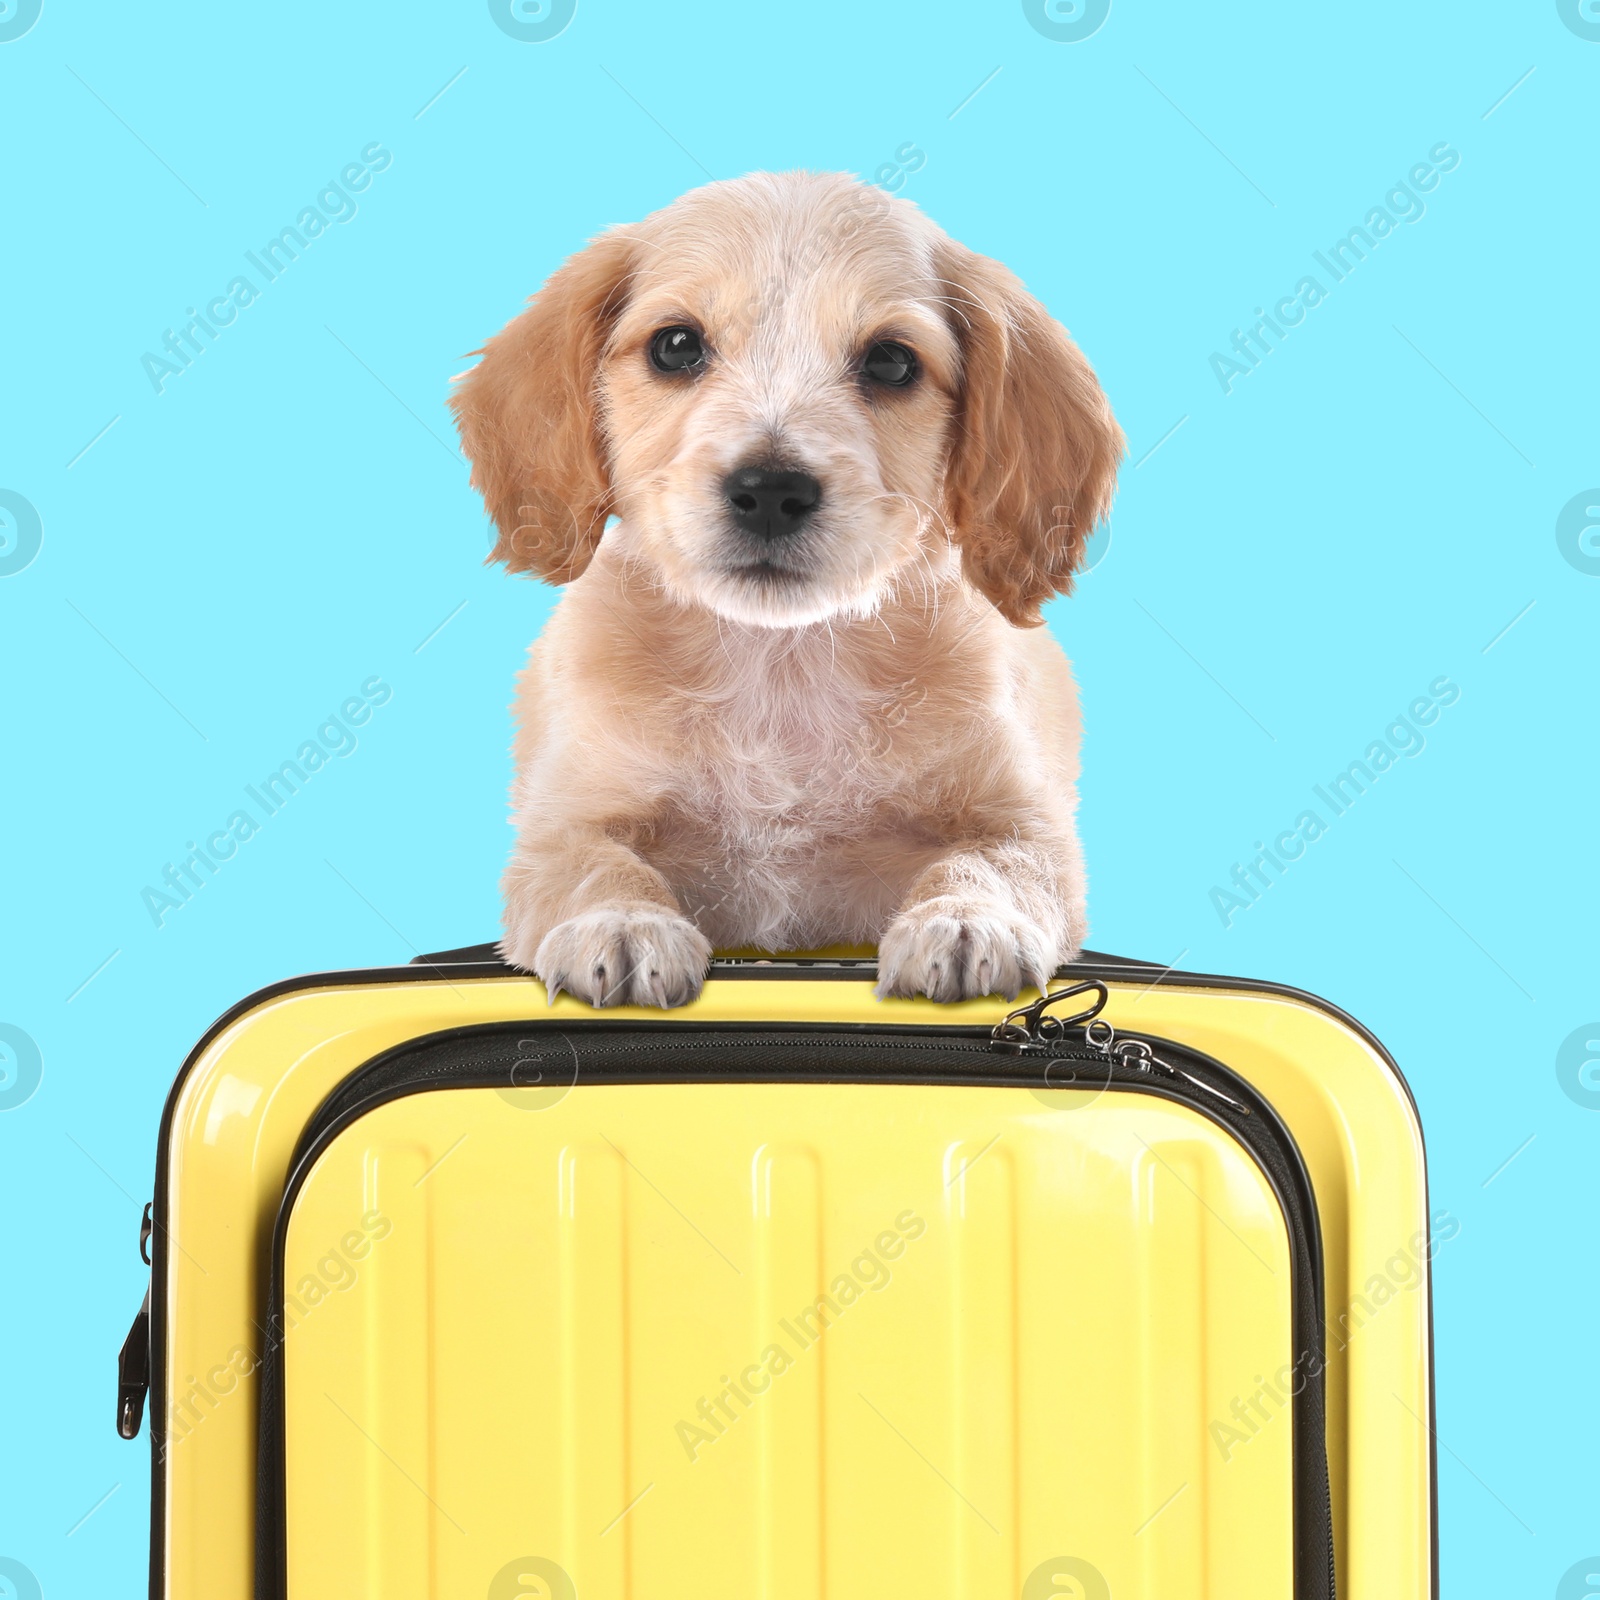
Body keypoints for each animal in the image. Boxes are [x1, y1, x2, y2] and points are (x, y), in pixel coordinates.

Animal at [451, 172, 1126, 1011]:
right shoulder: (564, 821)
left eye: (892, 363)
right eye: (676, 345)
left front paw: (968, 920)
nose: (770, 491)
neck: (780, 664)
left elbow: (992, 863)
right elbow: (593, 866)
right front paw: (622, 922)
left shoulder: (1024, 823)